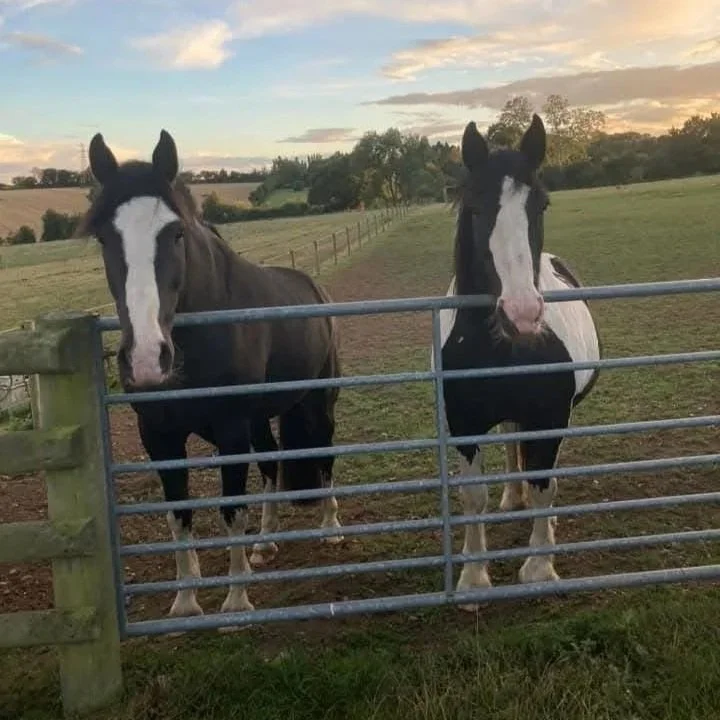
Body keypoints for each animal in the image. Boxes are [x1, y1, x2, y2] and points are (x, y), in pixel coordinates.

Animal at [82, 129, 344, 619]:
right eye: (104, 238)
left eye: (176, 233)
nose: (147, 359)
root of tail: (315, 287)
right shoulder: (160, 438)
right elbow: (179, 515)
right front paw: (186, 601)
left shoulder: (230, 430)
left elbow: (231, 509)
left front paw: (236, 600)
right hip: (261, 419)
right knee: (271, 463)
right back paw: (265, 543)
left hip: (319, 400)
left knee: (324, 452)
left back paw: (331, 526)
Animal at [434, 114, 601, 611]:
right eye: (474, 208)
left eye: (541, 205)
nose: (522, 314)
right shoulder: (465, 425)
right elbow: (474, 497)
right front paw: (473, 579)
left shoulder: (550, 417)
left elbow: (545, 481)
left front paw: (540, 566)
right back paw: (514, 495)